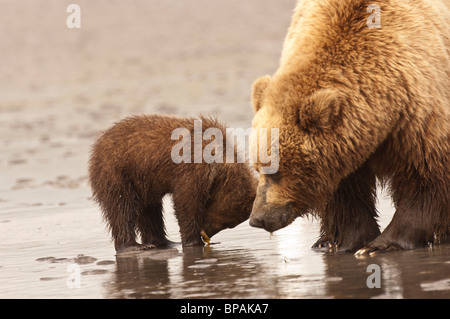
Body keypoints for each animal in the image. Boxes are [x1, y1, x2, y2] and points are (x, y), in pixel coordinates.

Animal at [248, 0, 448, 255]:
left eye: (277, 171)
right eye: (257, 168)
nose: (257, 218)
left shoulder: (416, 115)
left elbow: (426, 176)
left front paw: (380, 245)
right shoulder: (344, 148)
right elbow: (344, 193)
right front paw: (342, 242)